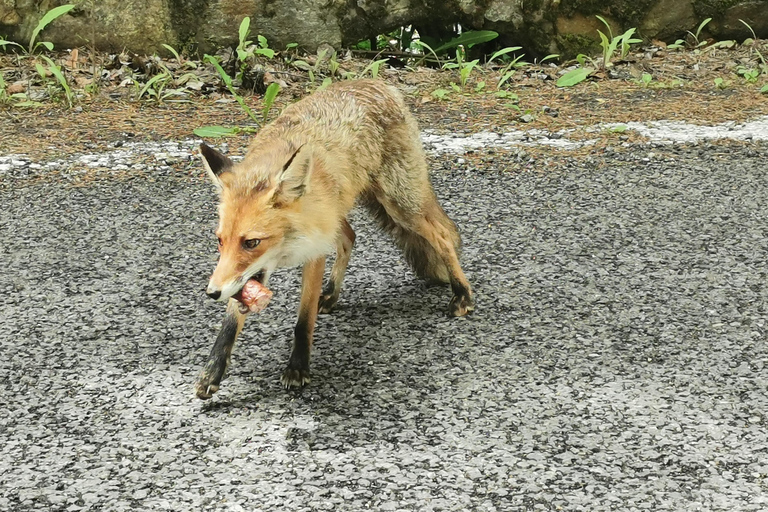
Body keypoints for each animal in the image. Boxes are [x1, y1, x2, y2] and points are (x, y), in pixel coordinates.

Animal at [196, 81, 474, 400]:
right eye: (220, 241)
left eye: (252, 243)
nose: (212, 293)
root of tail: (379, 84)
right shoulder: (239, 273)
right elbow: (230, 323)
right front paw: (212, 373)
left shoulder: (315, 249)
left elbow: (303, 320)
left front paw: (298, 367)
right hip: (344, 212)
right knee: (350, 238)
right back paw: (330, 294)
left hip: (399, 206)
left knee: (442, 236)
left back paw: (462, 294)